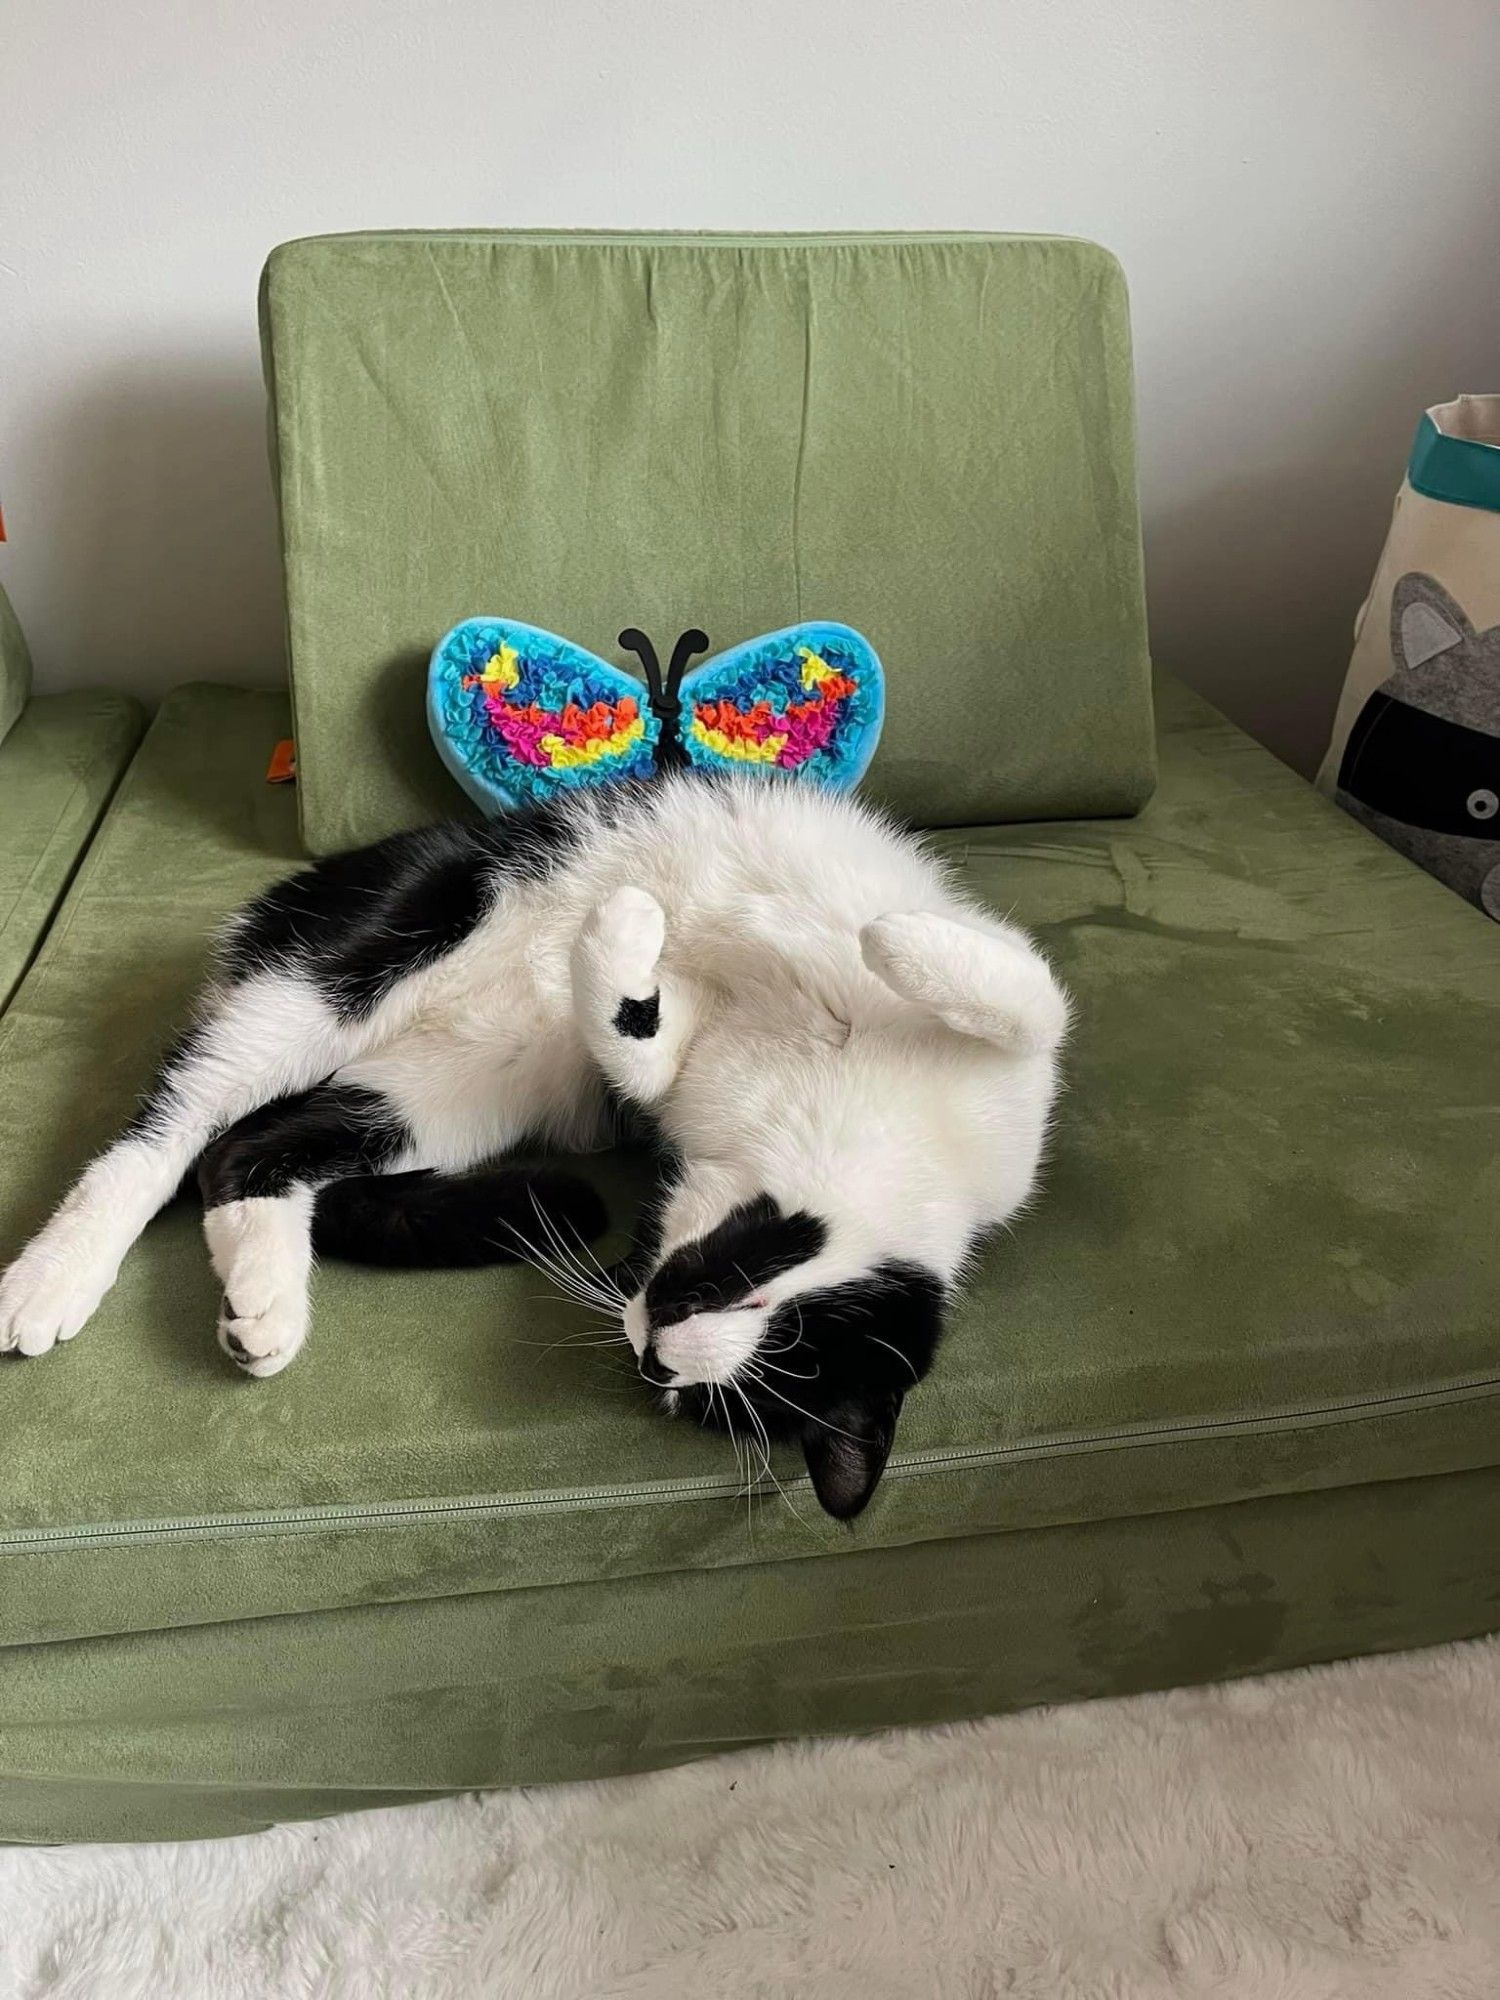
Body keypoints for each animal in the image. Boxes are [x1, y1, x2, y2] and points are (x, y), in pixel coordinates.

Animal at [5, 776, 1072, 1512]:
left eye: (676, 1390)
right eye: (764, 1303)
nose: (650, 1339)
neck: (828, 1116)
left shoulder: (680, 1084)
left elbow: (639, 1048)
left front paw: (622, 951)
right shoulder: (998, 1065)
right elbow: (1031, 999)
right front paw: (877, 938)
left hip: (451, 1089)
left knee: (249, 1149)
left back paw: (263, 1307)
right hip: (368, 945)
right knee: (172, 1128)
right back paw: (54, 1278)